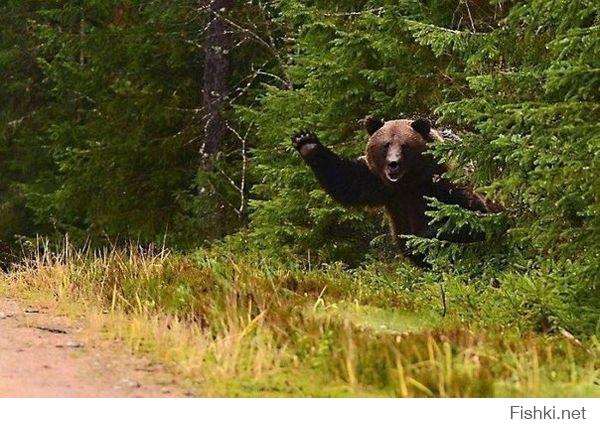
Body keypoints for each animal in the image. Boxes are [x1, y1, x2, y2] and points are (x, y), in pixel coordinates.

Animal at [290, 117, 502, 264]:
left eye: (404, 145)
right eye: (386, 145)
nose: (393, 164)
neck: (409, 182)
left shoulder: (443, 182)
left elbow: (469, 216)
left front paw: (419, 238)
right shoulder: (377, 183)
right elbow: (346, 181)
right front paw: (306, 142)